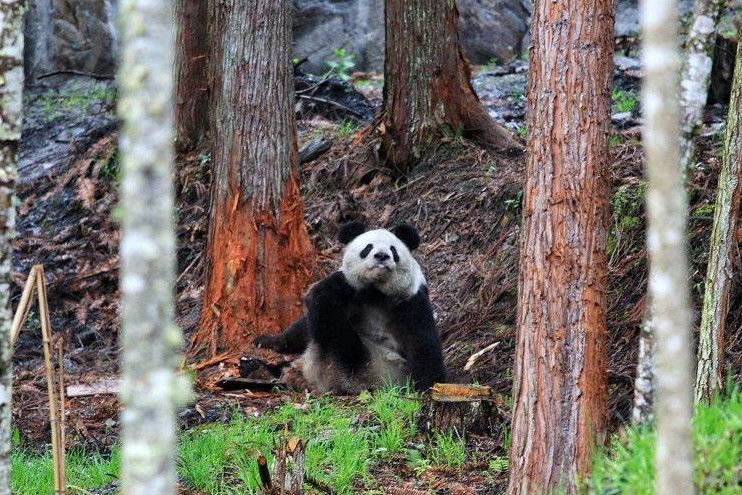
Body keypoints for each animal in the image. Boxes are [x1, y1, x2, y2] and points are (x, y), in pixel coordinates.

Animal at [254, 222, 448, 396]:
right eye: (368, 248)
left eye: (393, 250)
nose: (382, 256)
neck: (375, 291)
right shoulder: (353, 295)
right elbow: (303, 326)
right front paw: (266, 341)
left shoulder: (410, 301)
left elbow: (422, 344)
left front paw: (426, 386)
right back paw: (262, 369)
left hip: (371, 365)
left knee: (340, 339)